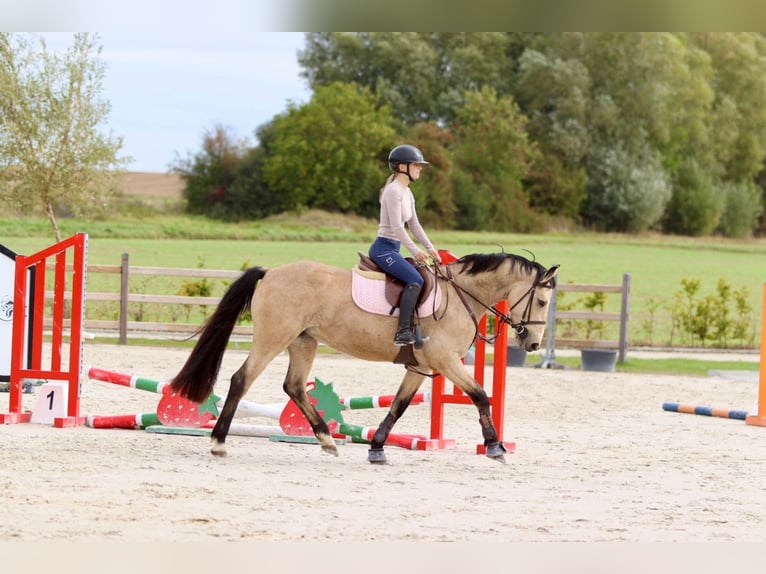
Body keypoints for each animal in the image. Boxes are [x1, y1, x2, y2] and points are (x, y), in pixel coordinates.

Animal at [170, 252, 559, 464]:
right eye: (541, 301)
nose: (532, 345)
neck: (461, 295)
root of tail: (271, 273)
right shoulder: (446, 362)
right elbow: (479, 394)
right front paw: (494, 446)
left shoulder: (422, 366)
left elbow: (398, 406)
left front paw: (376, 447)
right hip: (273, 338)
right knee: (242, 380)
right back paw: (219, 442)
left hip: (304, 342)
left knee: (294, 386)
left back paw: (327, 439)